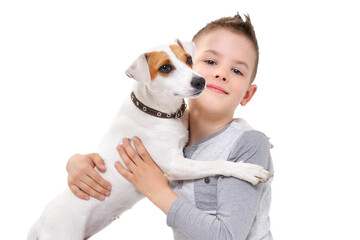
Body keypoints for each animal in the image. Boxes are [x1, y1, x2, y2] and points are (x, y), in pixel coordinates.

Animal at [27, 40, 270, 239]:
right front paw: (248, 170)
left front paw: (259, 133)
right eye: (165, 68)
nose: (200, 81)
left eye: (188, 59)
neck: (158, 111)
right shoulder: (175, 165)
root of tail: (39, 223)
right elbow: (215, 163)